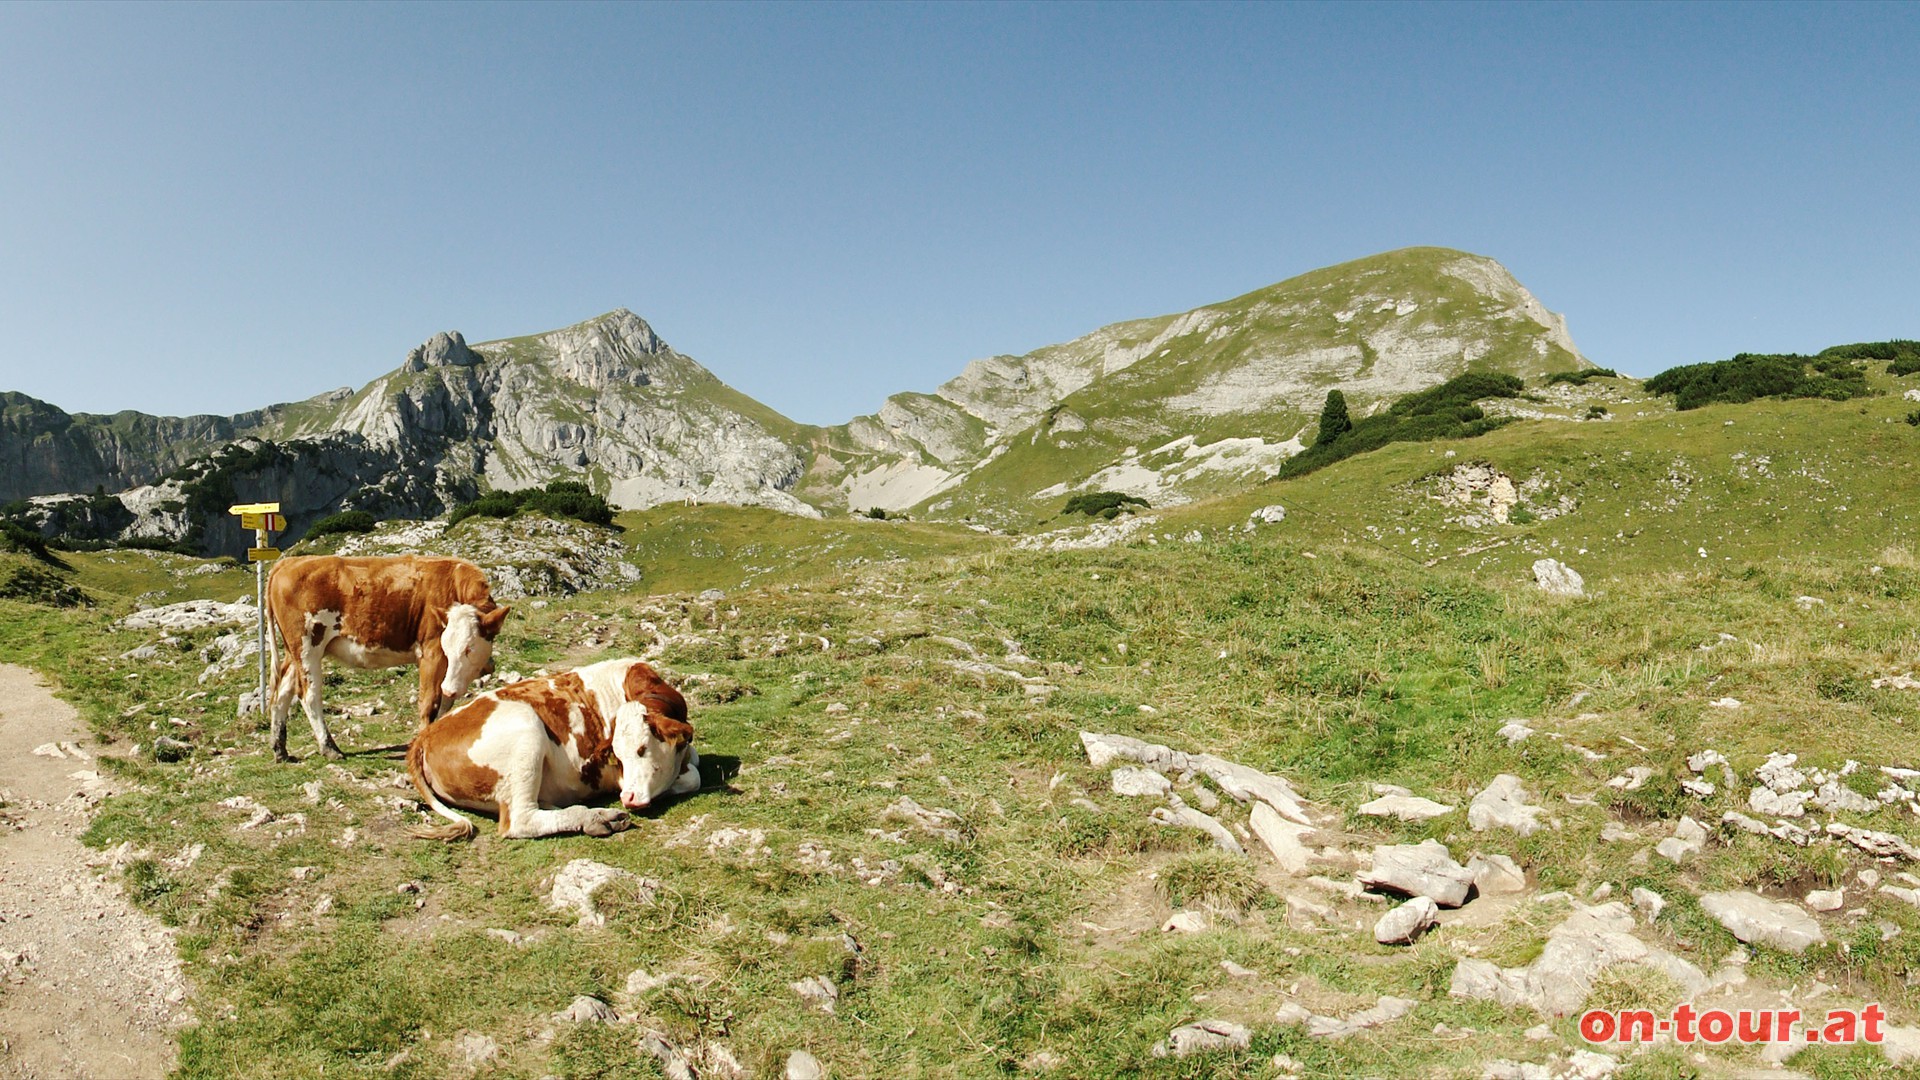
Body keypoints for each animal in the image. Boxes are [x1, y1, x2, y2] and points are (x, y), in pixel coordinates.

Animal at [266, 553, 518, 757]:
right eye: (447, 647)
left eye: (469, 648)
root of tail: (288, 562)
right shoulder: (431, 652)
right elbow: (429, 702)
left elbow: (444, 703)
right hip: (307, 647)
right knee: (308, 694)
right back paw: (329, 748)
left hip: (294, 651)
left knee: (282, 692)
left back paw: (280, 749)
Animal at [408, 653, 702, 837]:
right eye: (618, 757)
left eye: (642, 749)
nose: (627, 798)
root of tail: (425, 735)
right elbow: (693, 777)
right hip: (526, 728)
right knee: (520, 820)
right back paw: (597, 818)